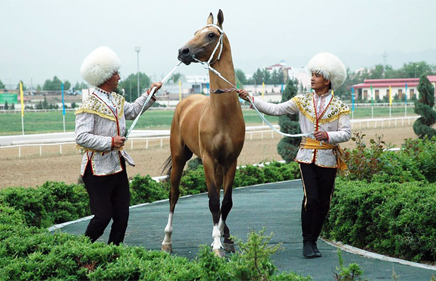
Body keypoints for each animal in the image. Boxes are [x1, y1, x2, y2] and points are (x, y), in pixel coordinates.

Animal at [162, 9, 247, 256]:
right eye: (194, 32)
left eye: (211, 34)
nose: (183, 51)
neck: (223, 114)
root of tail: (185, 102)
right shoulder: (208, 159)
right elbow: (212, 201)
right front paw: (217, 244)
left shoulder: (231, 161)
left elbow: (225, 202)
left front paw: (222, 238)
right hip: (180, 157)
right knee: (174, 194)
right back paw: (167, 241)